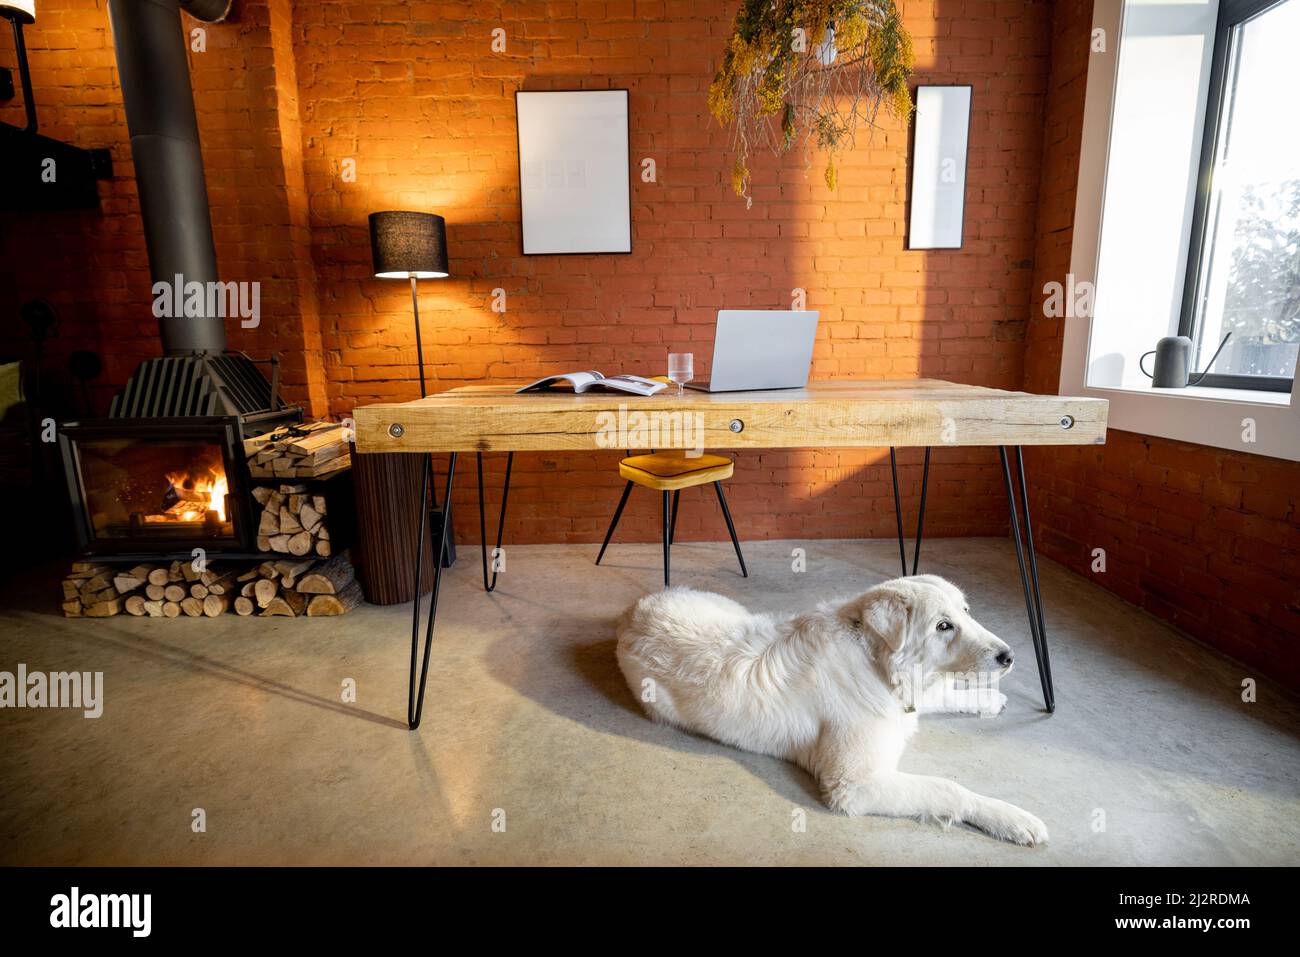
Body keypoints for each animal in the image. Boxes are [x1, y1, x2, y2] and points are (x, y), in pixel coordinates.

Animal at [613, 574, 1050, 842]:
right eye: (943, 626)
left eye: (966, 612)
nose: (1009, 656)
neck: (877, 663)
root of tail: (633, 612)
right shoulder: (855, 784)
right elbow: (949, 789)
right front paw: (1012, 818)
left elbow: (938, 697)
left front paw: (985, 698)